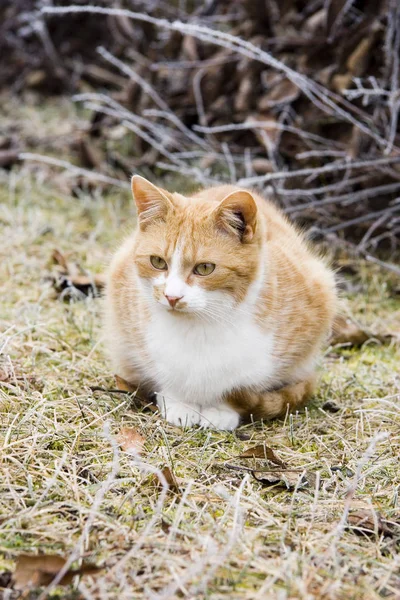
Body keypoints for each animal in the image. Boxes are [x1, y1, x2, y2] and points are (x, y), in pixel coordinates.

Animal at [104, 176, 338, 428]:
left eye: (205, 268)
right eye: (157, 262)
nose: (172, 297)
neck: (200, 326)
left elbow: (242, 385)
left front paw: (220, 410)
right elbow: (165, 373)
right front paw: (180, 403)